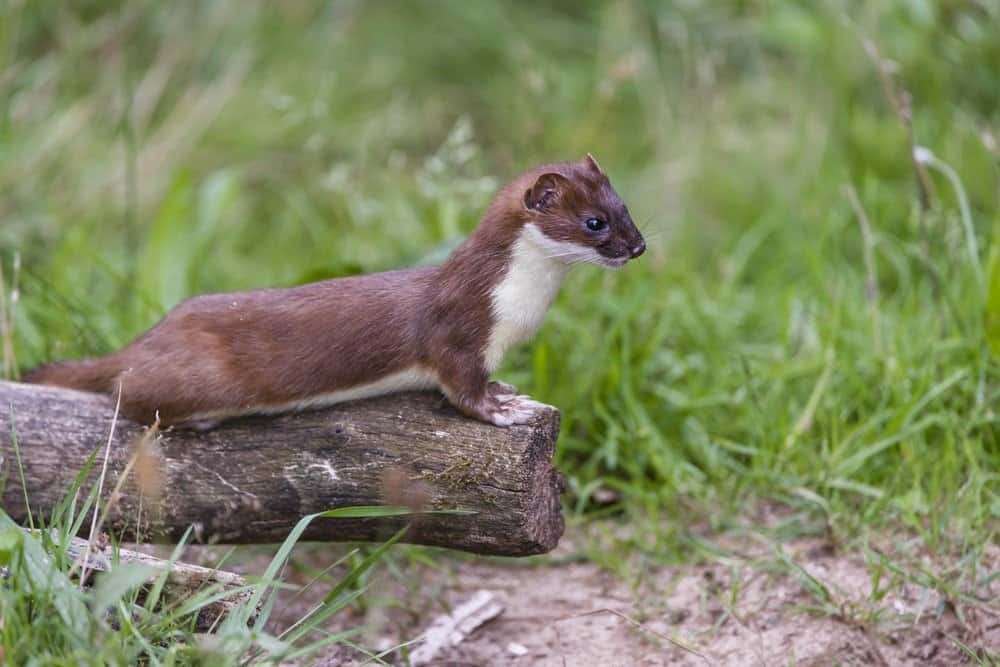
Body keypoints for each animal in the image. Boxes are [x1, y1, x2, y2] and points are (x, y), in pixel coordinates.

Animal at [27, 155, 648, 428]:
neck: (522, 307)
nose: (638, 247)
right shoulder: (458, 331)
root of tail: (142, 341)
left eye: (626, 209)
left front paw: (506, 386)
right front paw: (502, 407)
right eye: (594, 222)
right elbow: (461, 388)